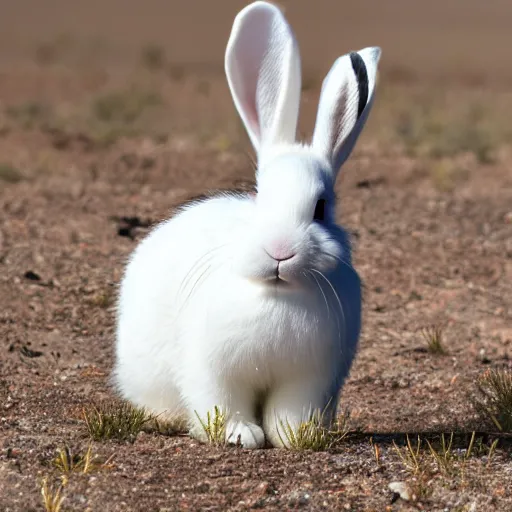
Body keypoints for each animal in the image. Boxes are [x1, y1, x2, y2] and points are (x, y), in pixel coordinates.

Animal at [114, 1, 382, 448]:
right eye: (259, 195)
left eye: (321, 208)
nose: (280, 251)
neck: (276, 293)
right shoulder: (213, 371)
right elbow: (222, 405)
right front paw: (241, 436)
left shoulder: (310, 380)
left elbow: (290, 412)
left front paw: (295, 438)